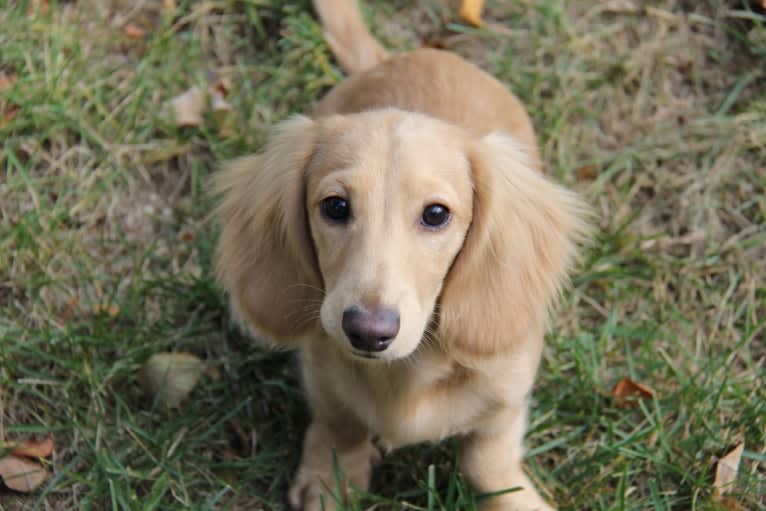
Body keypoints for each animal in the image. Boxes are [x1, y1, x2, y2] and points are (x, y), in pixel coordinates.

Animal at [214, 2, 592, 510]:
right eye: (335, 206)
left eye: (436, 214)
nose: (368, 332)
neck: (407, 372)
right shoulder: (321, 369)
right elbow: (341, 420)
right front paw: (330, 476)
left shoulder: (508, 396)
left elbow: (487, 460)